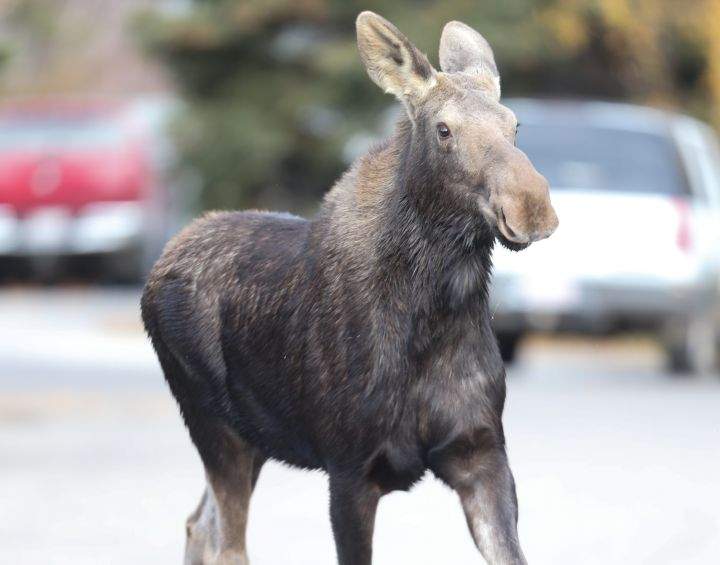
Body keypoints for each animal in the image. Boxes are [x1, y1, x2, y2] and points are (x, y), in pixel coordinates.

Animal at [141, 11, 558, 565]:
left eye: (515, 125)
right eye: (444, 129)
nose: (531, 205)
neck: (436, 316)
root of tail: (159, 265)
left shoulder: (482, 454)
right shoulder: (350, 470)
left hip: (251, 438)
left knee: (197, 524)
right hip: (214, 425)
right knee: (226, 542)